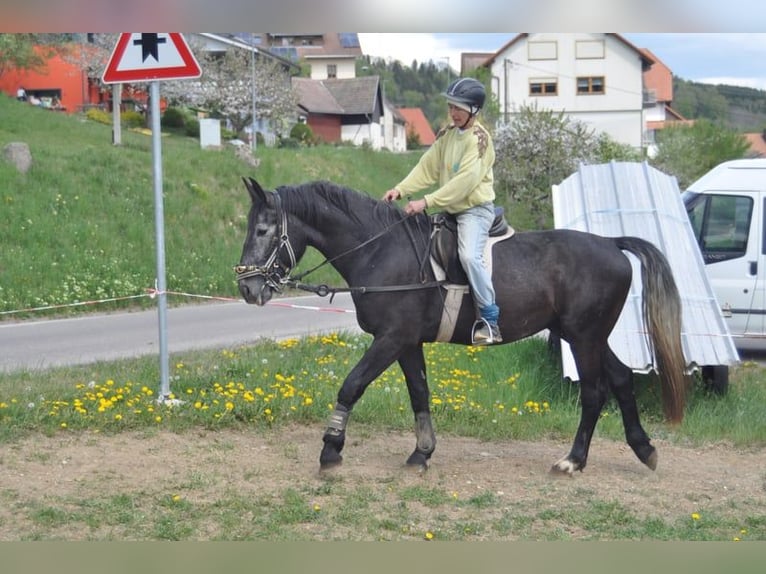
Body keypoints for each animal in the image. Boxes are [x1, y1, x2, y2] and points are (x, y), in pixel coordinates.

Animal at [234, 178, 688, 474]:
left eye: (263, 229)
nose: (247, 287)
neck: (381, 251)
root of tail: (611, 244)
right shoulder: (407, 343)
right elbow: (419, 394)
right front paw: (422, 453)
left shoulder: (391, 339)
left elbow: (352, 385)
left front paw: (331, 449)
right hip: (586, 335)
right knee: (622, 379)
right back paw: (643, 449)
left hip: (583, 338)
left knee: (594, 392)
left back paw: (573, 460)